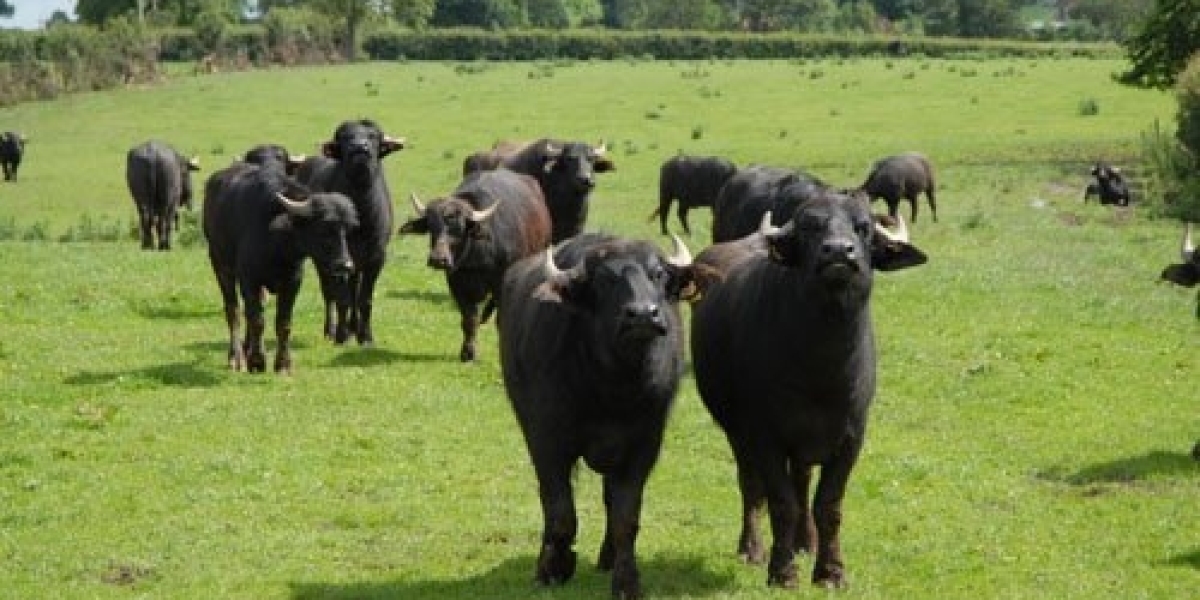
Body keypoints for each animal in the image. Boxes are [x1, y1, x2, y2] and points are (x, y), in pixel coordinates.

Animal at [202, 165, 358, 374]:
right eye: (324, 229)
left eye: (347, 230)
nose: (346, 265)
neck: (278, 246)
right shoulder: (249, 279)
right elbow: (258, 320)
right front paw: (257, 361)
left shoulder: (292, 282)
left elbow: (283, 323)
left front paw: (283, 363)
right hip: (220, 264)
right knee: (233, 311)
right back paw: (236, 357)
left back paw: (247, 347)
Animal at [299, 119, 406, 345]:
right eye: (345, 137)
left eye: (373, 136)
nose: (360, 148)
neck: (361, 218)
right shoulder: (337, 258)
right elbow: (342, 298)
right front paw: (341, 336)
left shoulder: (376, 258)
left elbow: (364, 299)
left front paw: (366, 336)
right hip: (322, 260)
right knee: (328, 293)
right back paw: (331, 330)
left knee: (354, 288)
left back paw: (354, 327)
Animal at [399, 168, 553, 362]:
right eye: (431, 226)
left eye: (459, 228)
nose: (438, 259)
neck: (476, 258)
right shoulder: (457, 285)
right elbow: (469, 319)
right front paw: (468, 352)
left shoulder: (501, 284)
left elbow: (500, 319)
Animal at [498, 232, 694, 599]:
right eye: (605, 280)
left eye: (658, 274)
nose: (643, 315)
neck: (611, 387)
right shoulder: (548, 441)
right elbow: (560, 512)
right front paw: (554, 567)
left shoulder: (642, 447)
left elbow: (625, 518)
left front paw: (627, 581)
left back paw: (608, 557)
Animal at [691, 187, 926, 589]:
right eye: (810, 227)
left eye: (863, 227)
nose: (838, 252)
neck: (821, 369)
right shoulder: (764, 436)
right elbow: (780, 502)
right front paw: (782, 572)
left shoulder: (851, 438)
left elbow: (828, 504)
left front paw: (830, 571)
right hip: (737, 433)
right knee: (751, 486)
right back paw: (751, 548)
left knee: (801, 482)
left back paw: (806, 541)